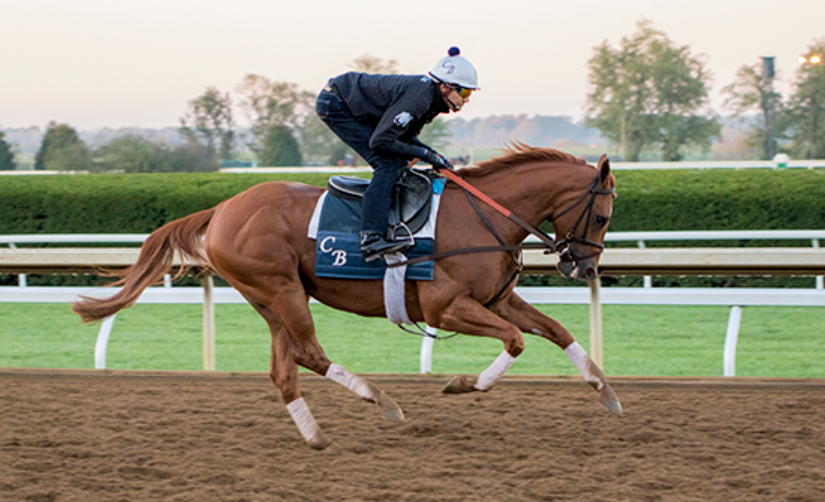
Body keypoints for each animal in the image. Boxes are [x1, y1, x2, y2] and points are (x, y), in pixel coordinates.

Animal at [73, 144, 621, 450]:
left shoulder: (495, 300)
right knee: (310, 354)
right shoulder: (448, 308)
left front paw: (606, 391)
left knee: (285, 368)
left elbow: (556, 330)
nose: (585, 267)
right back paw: (380, 399)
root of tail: (223, 207)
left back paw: (315, 435)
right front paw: (463, 383)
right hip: (280, 287)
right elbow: (515, 341)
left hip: (270, 298)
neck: (485, 217)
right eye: (601, 216)